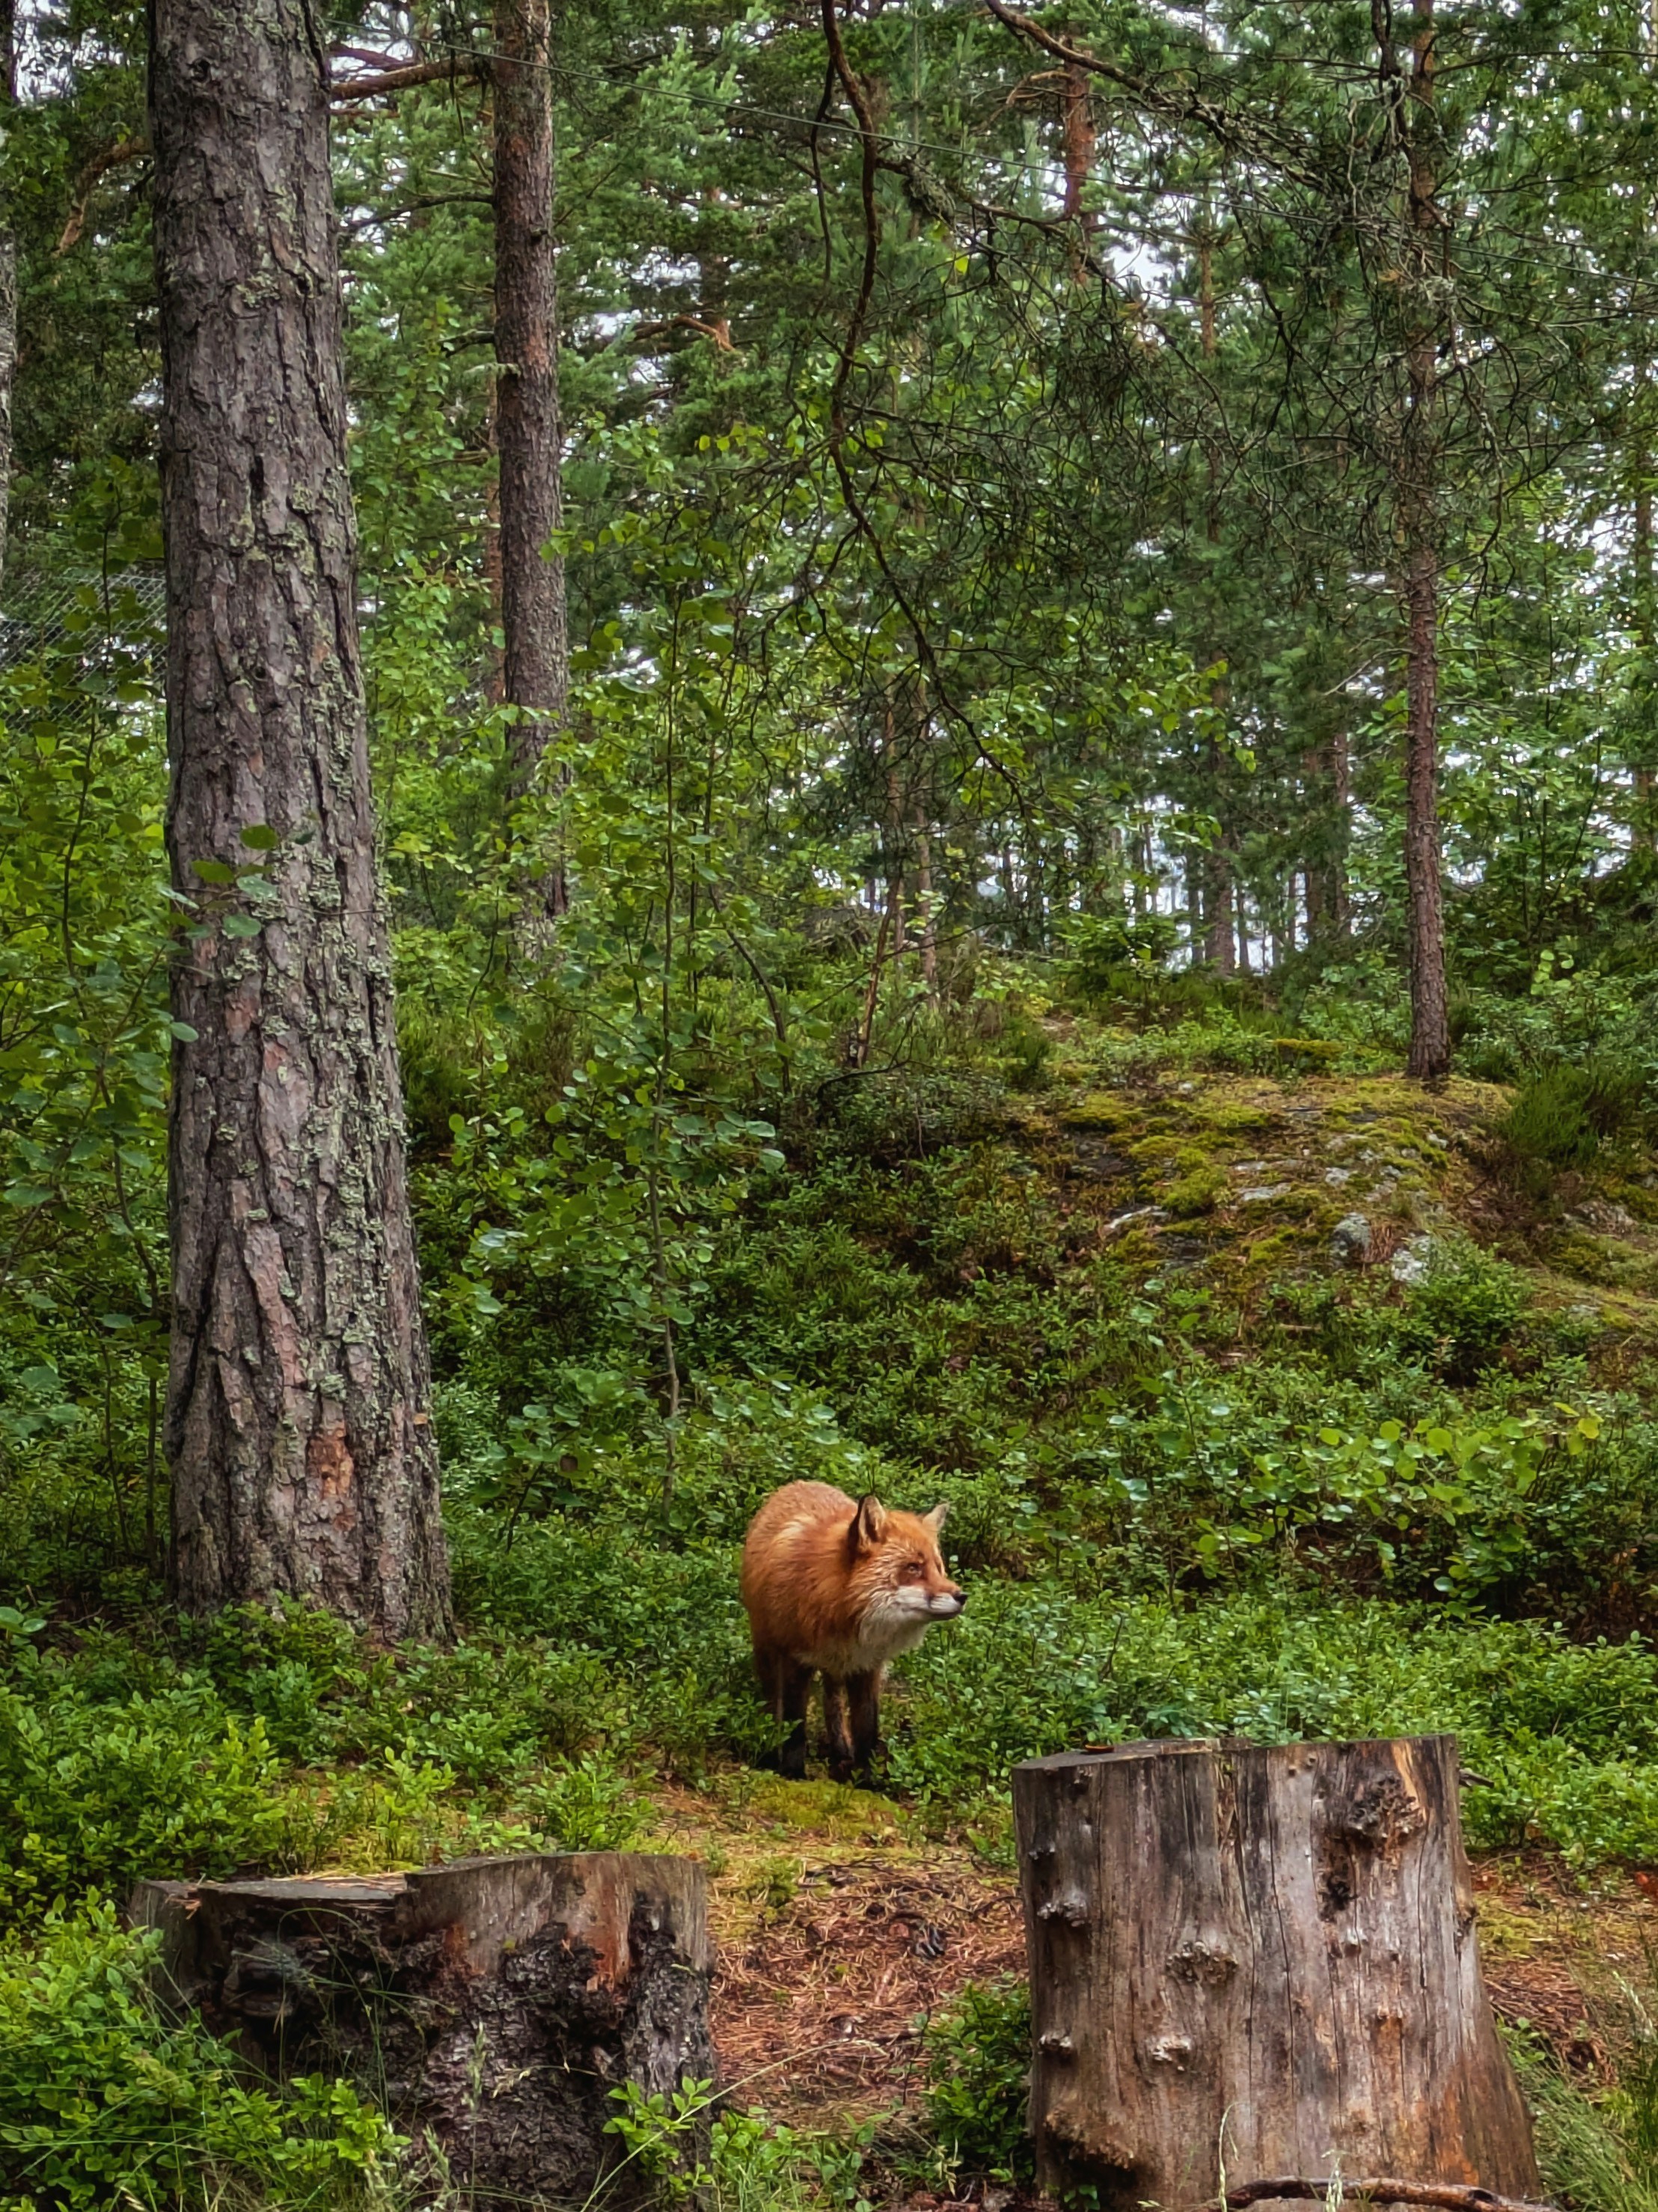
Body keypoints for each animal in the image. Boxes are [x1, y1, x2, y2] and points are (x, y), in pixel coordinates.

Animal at [740, 1480, 966, 1781]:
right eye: (913, 1567)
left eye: (939, 1568)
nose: (962, 1596)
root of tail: (800, 1483)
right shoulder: (795, 1659)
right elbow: (794, 1723)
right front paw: (792, 1771)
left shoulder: (867, 1666)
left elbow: (866, 1730)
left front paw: (866, 1780)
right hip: (767, 1650)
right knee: (772, 1704)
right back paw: (768, 1750)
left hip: (836, 1669)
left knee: (833, 1705)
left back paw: (841, 1752)